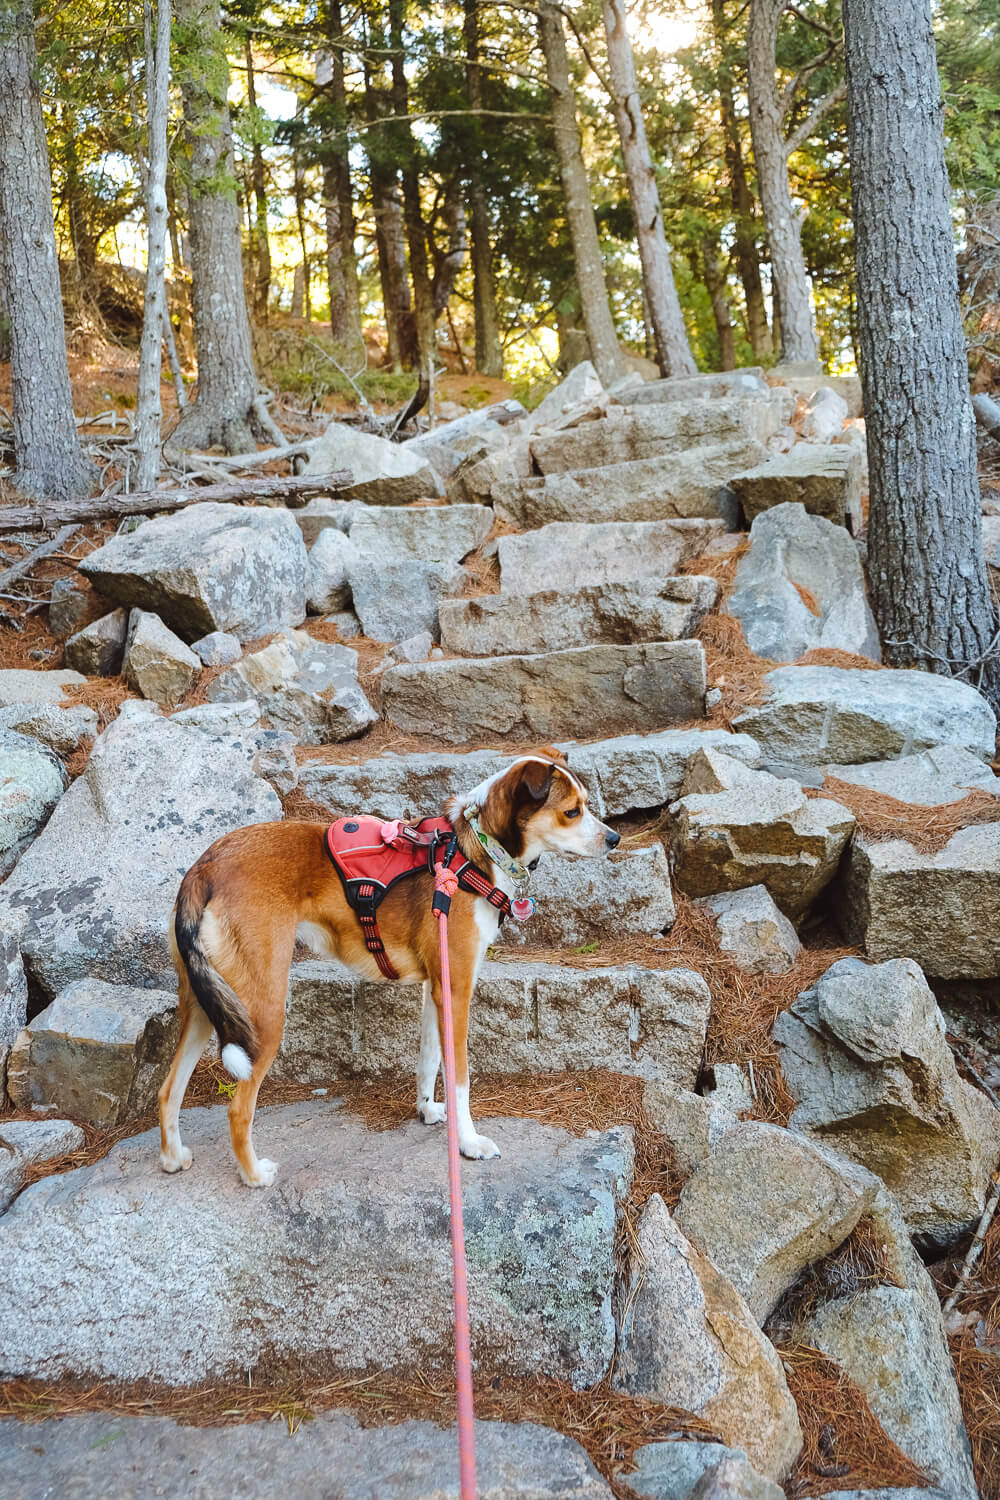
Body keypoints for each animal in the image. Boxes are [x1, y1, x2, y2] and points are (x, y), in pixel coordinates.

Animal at [157, 747, 620, 1182]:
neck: (477, 852)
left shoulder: (436, 988)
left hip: (206, 1004)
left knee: (168, 1089)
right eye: (572, 811)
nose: (615, 838)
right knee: (238, 1109)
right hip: (262, 1016)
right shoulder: (457, 991)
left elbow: (429, 1060)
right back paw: (254, 1175)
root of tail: (204, 867)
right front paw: (468, 1143)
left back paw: (173, 1158)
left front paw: (428, 1111)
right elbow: (461, 1078)